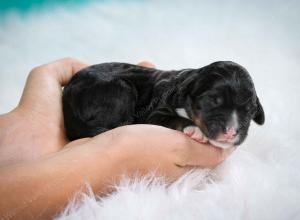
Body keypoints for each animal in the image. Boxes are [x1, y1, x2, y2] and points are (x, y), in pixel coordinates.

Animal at [62, 61, 264, 149]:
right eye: (212, 101)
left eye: (249, 111)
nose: (231, 132)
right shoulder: (154, 113)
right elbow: (172, 118)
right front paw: (194, 129)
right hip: (121, 89)